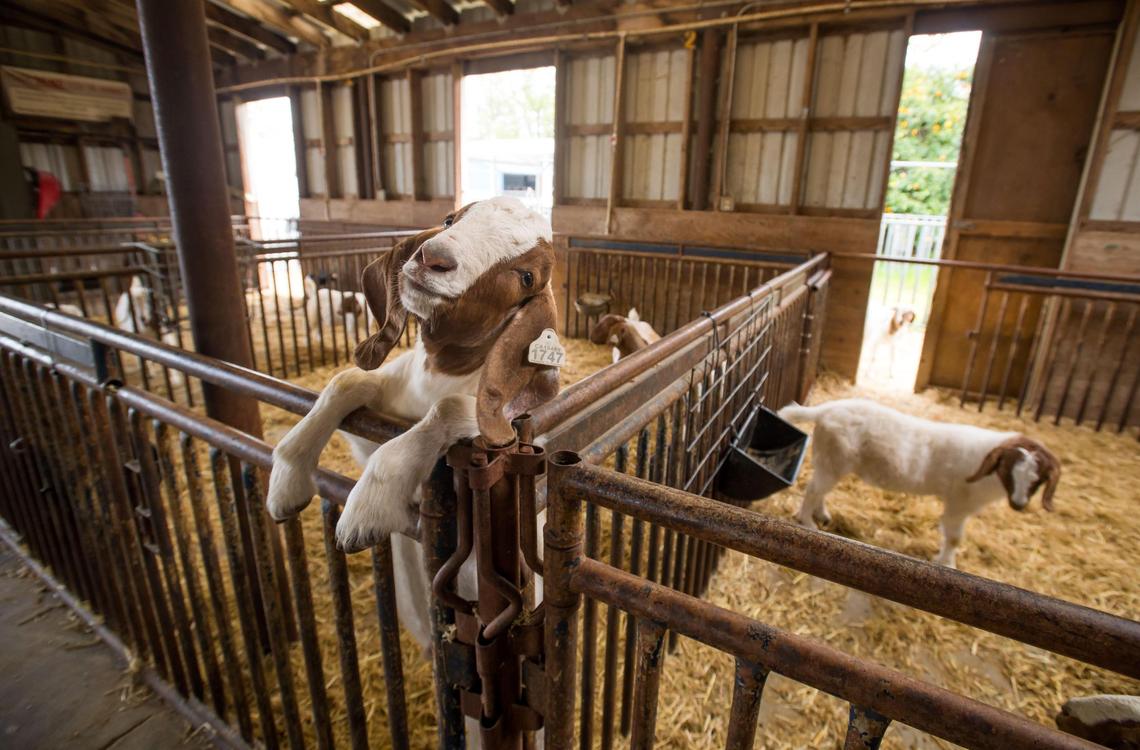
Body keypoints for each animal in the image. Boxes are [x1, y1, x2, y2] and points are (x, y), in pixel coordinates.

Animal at [266, 196, 561, 650]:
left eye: (526, 275)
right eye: (449, 219)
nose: (432, 257)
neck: (439, 374)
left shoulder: (500, 423)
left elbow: (453, 406)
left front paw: (365, 511)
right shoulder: (376, 419)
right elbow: (347, 380)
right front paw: (287, 481)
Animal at [779, 399, 1060, 568]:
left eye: (1038, 479)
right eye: (1007, 468)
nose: (1019, 504)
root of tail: (825, 410)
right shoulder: (958, 502)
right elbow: (954, 537)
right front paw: (946, 563)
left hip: (832, 462)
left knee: (820, 490)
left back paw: (822, 515)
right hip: (833, 459)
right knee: (813, 490)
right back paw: (808, 522)